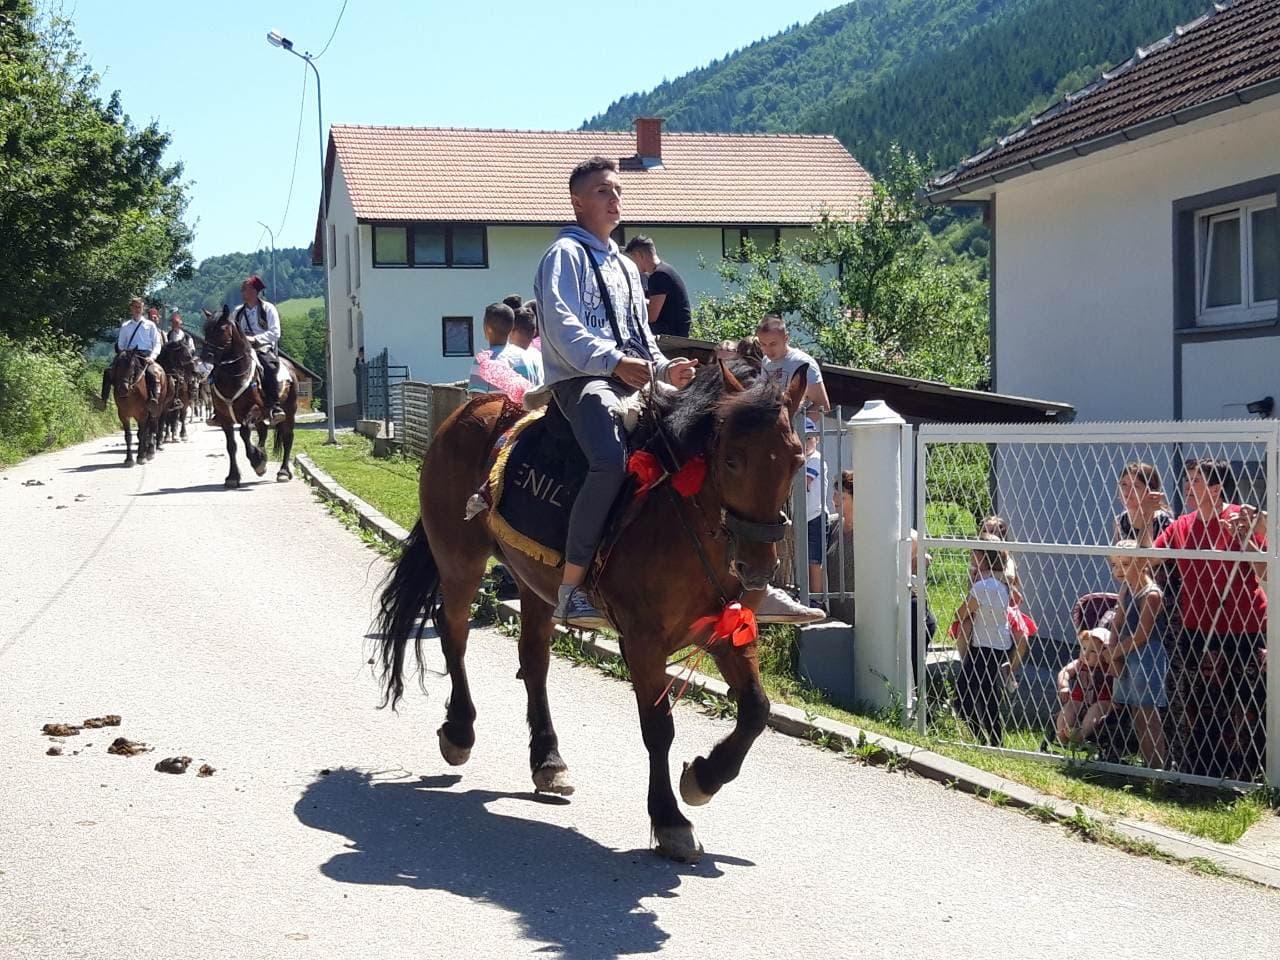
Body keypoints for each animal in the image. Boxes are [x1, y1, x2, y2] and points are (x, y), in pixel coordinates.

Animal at [200, 308, 298, 488]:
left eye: (222, 329)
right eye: (206, 330)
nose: (206, 356)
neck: (233, 376)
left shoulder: (254, 410)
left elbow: (244, 432)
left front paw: (257, 461)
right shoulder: (225, 418)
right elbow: (231, 446)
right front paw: (233, 476)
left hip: (289, 412)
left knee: (287, 438)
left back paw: (283, 472)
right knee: (263, 432)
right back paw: (262, 454)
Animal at [373, 360, 803, 865]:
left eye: (796, 460)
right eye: (733, 459)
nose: (757, 567)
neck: (682, 514)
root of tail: (473, 408)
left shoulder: (727, 632)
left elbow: (756, 709)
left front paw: (703, 778)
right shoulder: (642, 641)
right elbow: (658, 727)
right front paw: (670, 820)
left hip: (534, 583)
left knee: (533, 659)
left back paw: (548, 760)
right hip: (460, 562)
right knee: (453, 631)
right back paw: (459, 731)